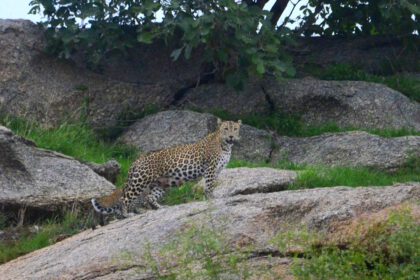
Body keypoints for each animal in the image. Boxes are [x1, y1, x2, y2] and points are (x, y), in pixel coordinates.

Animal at [92, 119, 243, 218]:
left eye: (235, 129)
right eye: (225, 128)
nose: (231, 136)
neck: (226, 145)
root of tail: (137, 160)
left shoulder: (218, 170)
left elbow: (212, 184)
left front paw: (212, 197)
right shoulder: (210, 168)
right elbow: (209, 185)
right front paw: (211, 198)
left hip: (162, 183)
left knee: (149, 197)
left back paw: (161, 208)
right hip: (140, 181)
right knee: (124, 198)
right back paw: (126, 214)